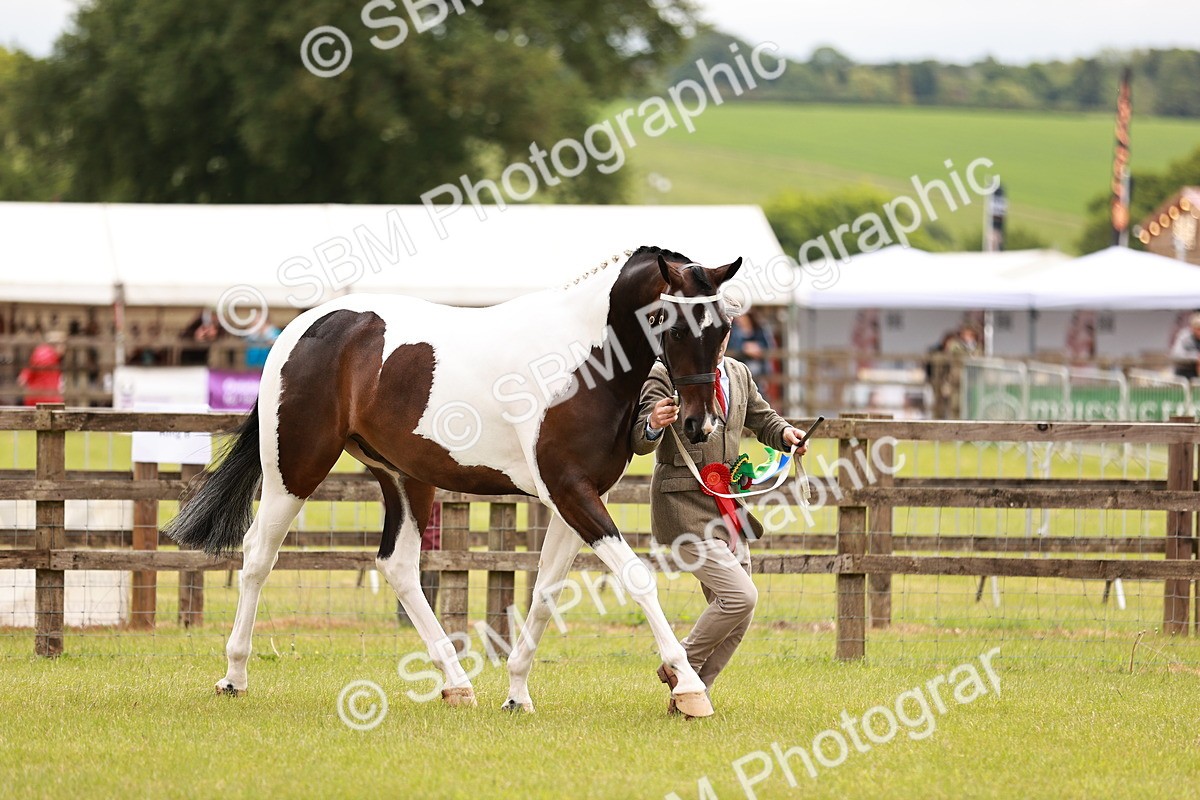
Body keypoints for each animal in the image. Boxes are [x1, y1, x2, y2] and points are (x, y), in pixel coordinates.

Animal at [165, 245, 742, 718]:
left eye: (722, 328)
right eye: (672, 324)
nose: (699, 424)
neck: (581, 361)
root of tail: (301, 328)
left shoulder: (575, 498)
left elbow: (545, 592)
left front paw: (517, 693)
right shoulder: (570, 492)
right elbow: (637, 579)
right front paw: (690, 688)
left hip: (403, 478)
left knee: (398, 566)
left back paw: (457, 683)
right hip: (295, 469)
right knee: (258, 555)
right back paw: (234, 676)